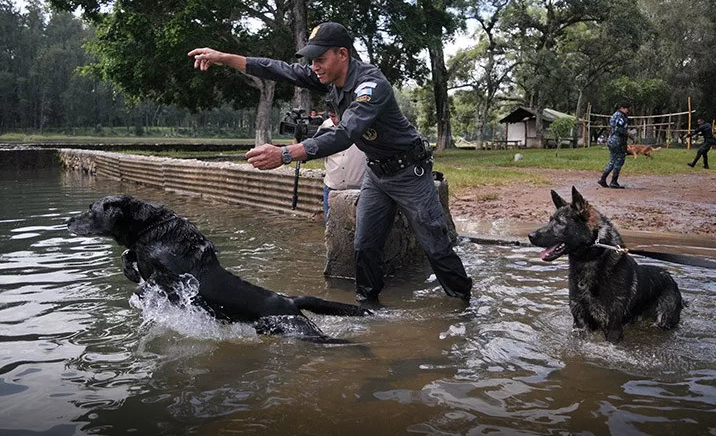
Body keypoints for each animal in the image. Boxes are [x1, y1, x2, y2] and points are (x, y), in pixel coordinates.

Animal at [67, 195, 372, 344]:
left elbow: (152, 282)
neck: (151, 229)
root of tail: (289, 300)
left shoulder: (176, 278)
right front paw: (130, 271)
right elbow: (129, 256)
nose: (68, 220)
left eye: (91, 209)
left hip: (299, 331)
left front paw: (143, 293)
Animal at [528, 186, 684, 342]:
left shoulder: (613, 328)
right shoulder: (579, 323)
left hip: (662, 322)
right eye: (550, 220)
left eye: (560, 223)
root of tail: (670, 277)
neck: (589, 261)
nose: (530, 236)